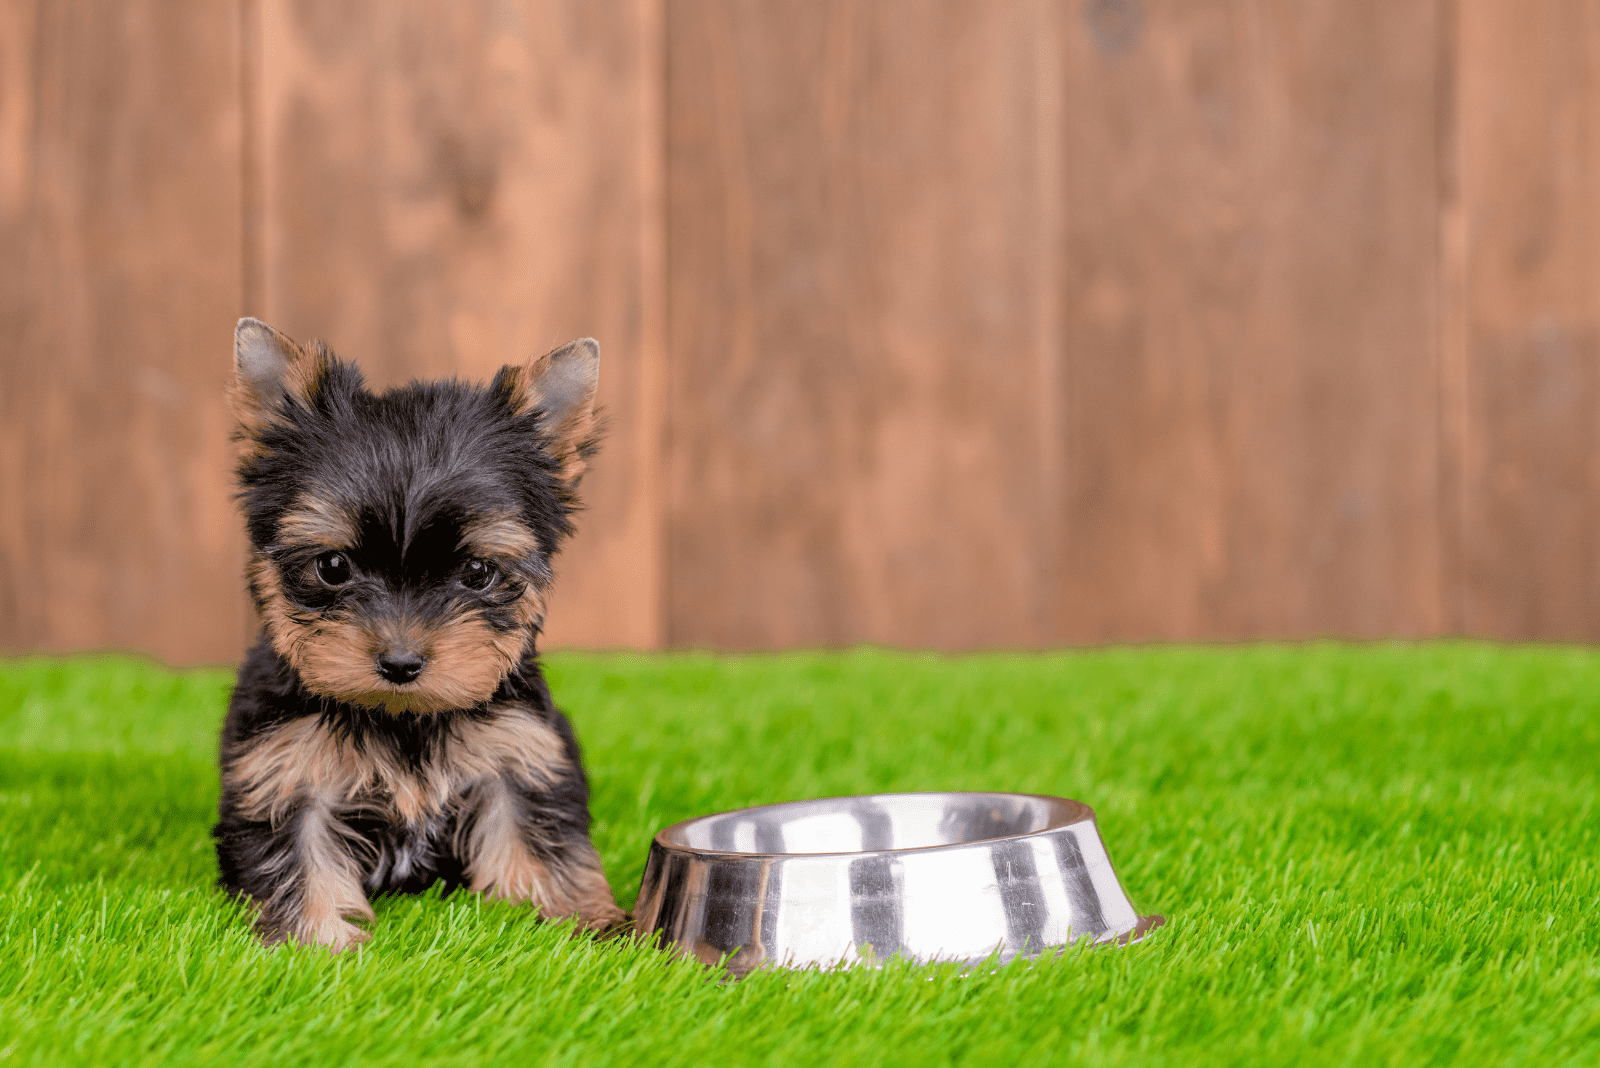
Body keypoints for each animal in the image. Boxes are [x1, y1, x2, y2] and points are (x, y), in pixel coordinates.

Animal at [206, 316, 617, 952]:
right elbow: (299, 855)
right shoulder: (285, 769)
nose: (400, 662)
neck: (403, 717)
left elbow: (536, 839)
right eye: (332, 567)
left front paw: (571, 921)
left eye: (478, 572)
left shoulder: (519, 751)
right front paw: (319, 943)